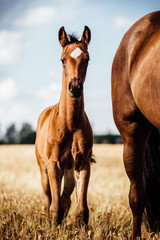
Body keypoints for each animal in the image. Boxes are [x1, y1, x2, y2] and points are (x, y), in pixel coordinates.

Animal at [34, 26, 92, 227]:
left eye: (87, 59)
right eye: (62, 60)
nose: (75, 88)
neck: (70, 123)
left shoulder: (82, 163)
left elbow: (81, 211)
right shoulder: (53, 164)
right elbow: (55, 208)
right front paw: (53, 229)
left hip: (68, 173)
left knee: (65, 199)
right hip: (44, 170)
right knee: (48, 200)